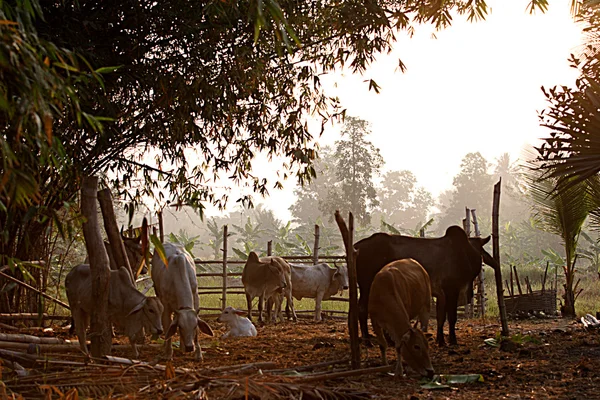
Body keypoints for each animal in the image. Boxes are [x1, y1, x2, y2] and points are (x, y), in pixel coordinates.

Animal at [356, 225, 496, 346]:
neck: (466, 253)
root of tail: (358, 246)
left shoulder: (441, 295)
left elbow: (441, 317)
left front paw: (441, 341)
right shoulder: (452, 290)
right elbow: (452, 317)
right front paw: (453, 340)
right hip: (366, 285)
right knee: (363, 309)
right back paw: (368, 341)